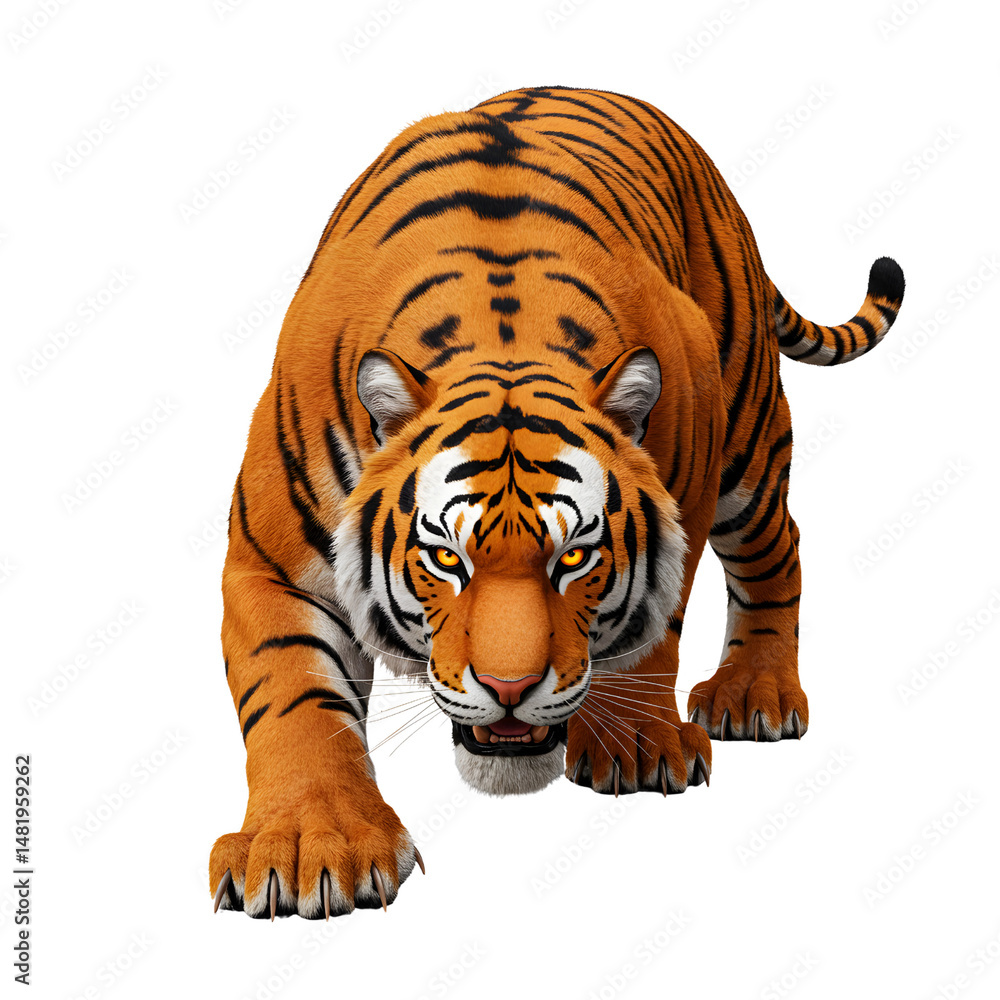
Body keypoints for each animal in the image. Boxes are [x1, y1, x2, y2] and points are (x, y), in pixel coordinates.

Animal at [209, 85, 904, 920]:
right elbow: (296, 698)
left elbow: (654, 630)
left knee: (780, 546)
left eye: (575, 557)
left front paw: (636, 743)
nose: (510, 691)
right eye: (444, 558)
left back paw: (755, 695)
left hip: (746, 431)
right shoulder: (272, 563)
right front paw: (310, 844)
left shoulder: (687, 482)